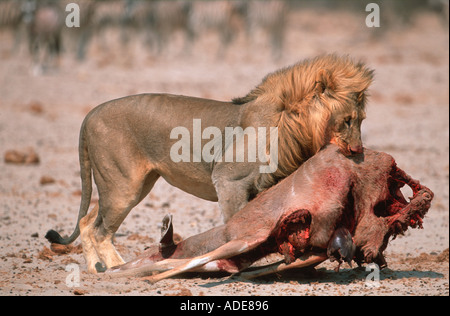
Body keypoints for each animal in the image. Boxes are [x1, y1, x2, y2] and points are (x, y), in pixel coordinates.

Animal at [47, 53, 374, 272]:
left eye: (361, 120)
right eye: (347, 120)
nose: (358, 149)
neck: (292, 124)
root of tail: (90, 114)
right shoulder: (228, 180)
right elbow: (236, 222)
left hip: (130, 185)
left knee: (87, 222)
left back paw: (95, 269)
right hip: (123, 186)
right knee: (100, 231)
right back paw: (116, 268)